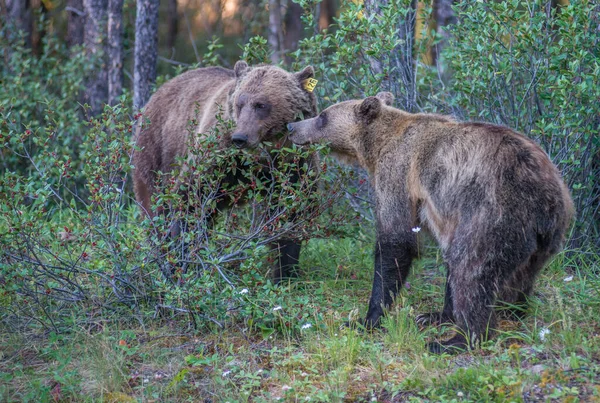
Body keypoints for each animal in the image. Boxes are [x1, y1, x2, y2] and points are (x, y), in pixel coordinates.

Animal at [131, 61, 318, 282]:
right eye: (240, 103)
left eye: (261, 105)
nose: (240, 137)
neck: (262, 157)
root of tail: (158, 92)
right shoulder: (214, 156)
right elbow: (190, 199)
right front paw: (183, 262)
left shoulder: (294, 165)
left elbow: (290, 213)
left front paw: (285, 273)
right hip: (156, 152)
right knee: (154, 207)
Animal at [288, 91, 576, 354]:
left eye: (322, 116)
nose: (292, 127)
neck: (377, 146)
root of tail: (545, 195)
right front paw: (435, 314)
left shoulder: (398, 174)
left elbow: (395, 240)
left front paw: (366, 319)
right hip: (546, 236)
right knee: (518, 274)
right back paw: (514, 311)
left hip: (494, 214)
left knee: (471, 268)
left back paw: (455, 341)